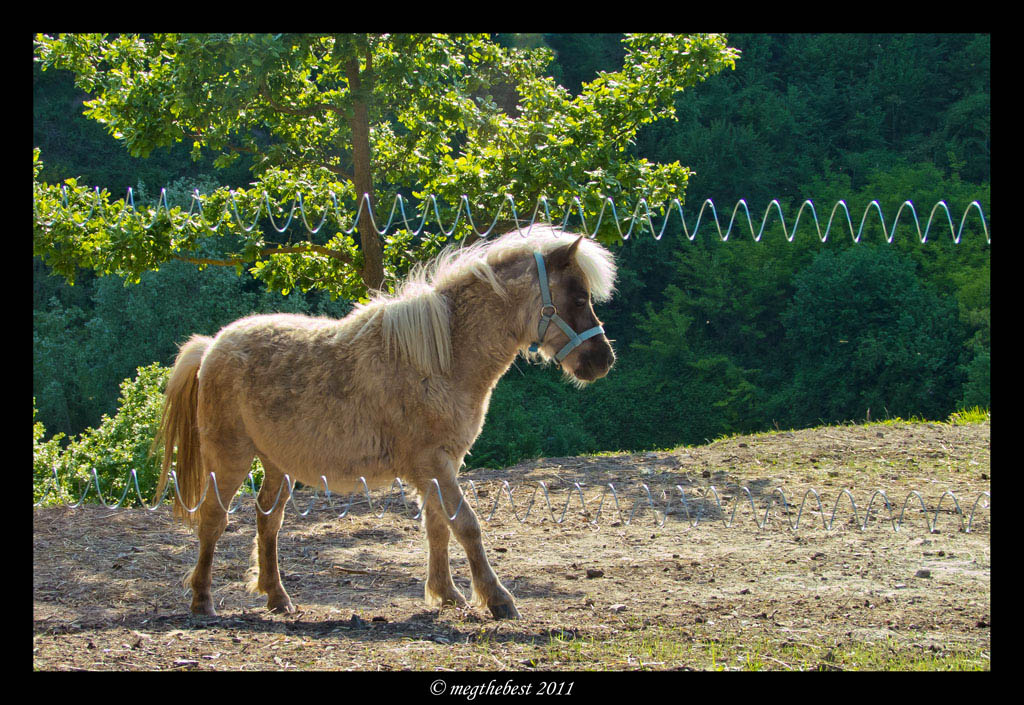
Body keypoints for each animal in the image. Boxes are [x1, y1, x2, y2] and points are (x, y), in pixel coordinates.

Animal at [154, 226, 618, 620]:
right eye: (578, 298)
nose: (603, 360)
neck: (441, 358)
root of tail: (212, 346)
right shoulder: (433, 464)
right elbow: (466, 525)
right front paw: (496, 598)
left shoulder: (441, 466)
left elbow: (438, 527)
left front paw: (446, 594)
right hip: (228, 459)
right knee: (213, 520)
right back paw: (202, 600)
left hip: (277, 464)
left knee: (268, 521)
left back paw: (277, 597)